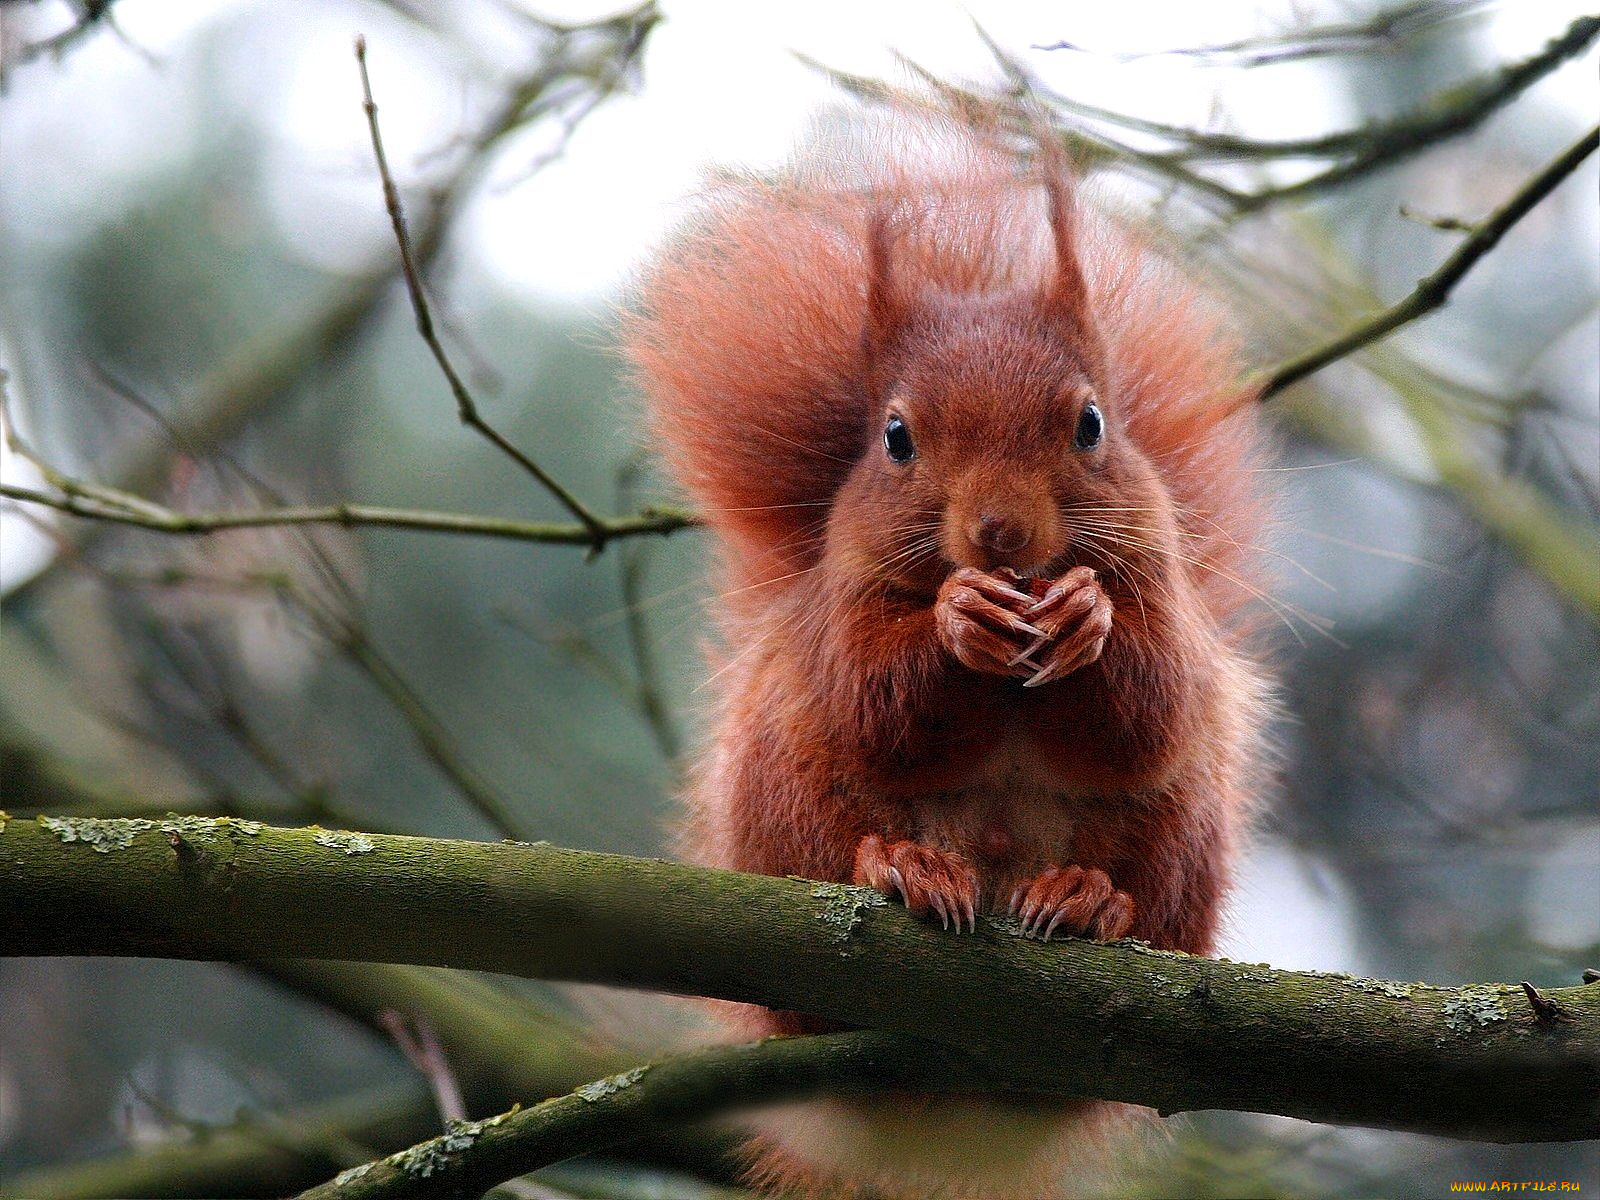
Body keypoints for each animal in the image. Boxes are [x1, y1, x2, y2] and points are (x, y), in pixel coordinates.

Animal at [624, 120, 1273, 1200]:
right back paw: (905, 868)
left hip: (1185, 835)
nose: (998, 533)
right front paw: (955, 621)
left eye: (1092, 424)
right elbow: (872, 704)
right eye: (895, 437)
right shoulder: (836, 623)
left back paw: (1087, 900)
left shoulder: (1162, 598)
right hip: (784, 801)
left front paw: (1085, 618)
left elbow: (1155, 706)